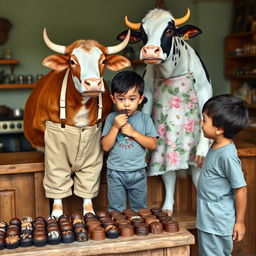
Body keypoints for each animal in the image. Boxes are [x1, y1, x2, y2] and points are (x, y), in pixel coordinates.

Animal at [24, 28, 131, 218]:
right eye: (72, 61)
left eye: (103, 60)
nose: (93, 83)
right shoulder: (53, 148)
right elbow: (57, 183)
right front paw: (57, 215)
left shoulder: (94, 147)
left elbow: (88, 184)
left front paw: (90, 213)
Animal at [119, 8, 213, 216]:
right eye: (143, 33)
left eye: (169, 30)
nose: (150, 50)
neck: (171, 72)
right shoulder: (146, 94)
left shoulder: (204, 88)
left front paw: (202, 148)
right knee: (169, 173)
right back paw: (168, 208)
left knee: (196, 174)